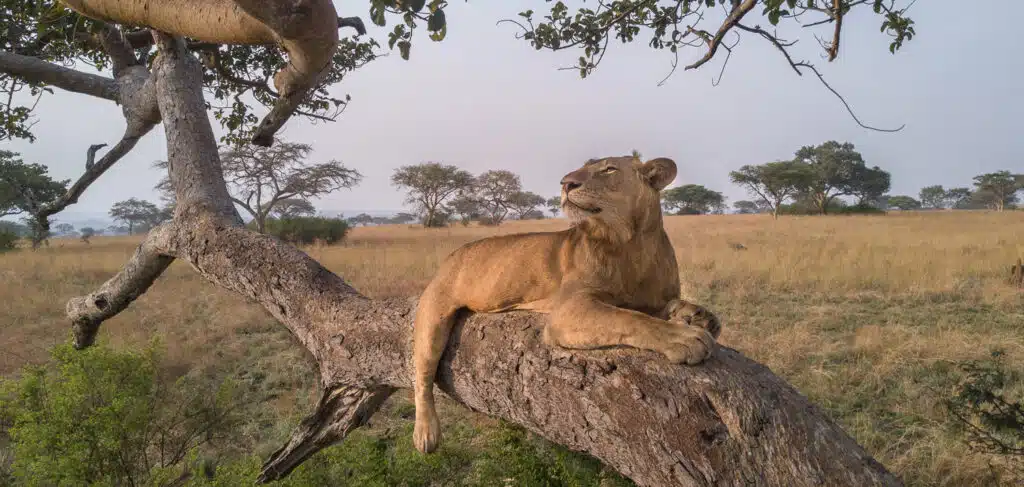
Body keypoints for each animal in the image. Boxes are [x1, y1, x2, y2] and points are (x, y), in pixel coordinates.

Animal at [409, 154, 720, 454]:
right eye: (583, 168)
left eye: (608, 169)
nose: (566, 183)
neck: (631, 242)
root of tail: (452, 255)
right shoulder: (568, 309)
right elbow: (630, 318)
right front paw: (685, 337)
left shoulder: (654, 298)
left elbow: (670, 307)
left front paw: (700, 317)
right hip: (432, 318)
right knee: (422, 375)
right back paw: (426, 434)